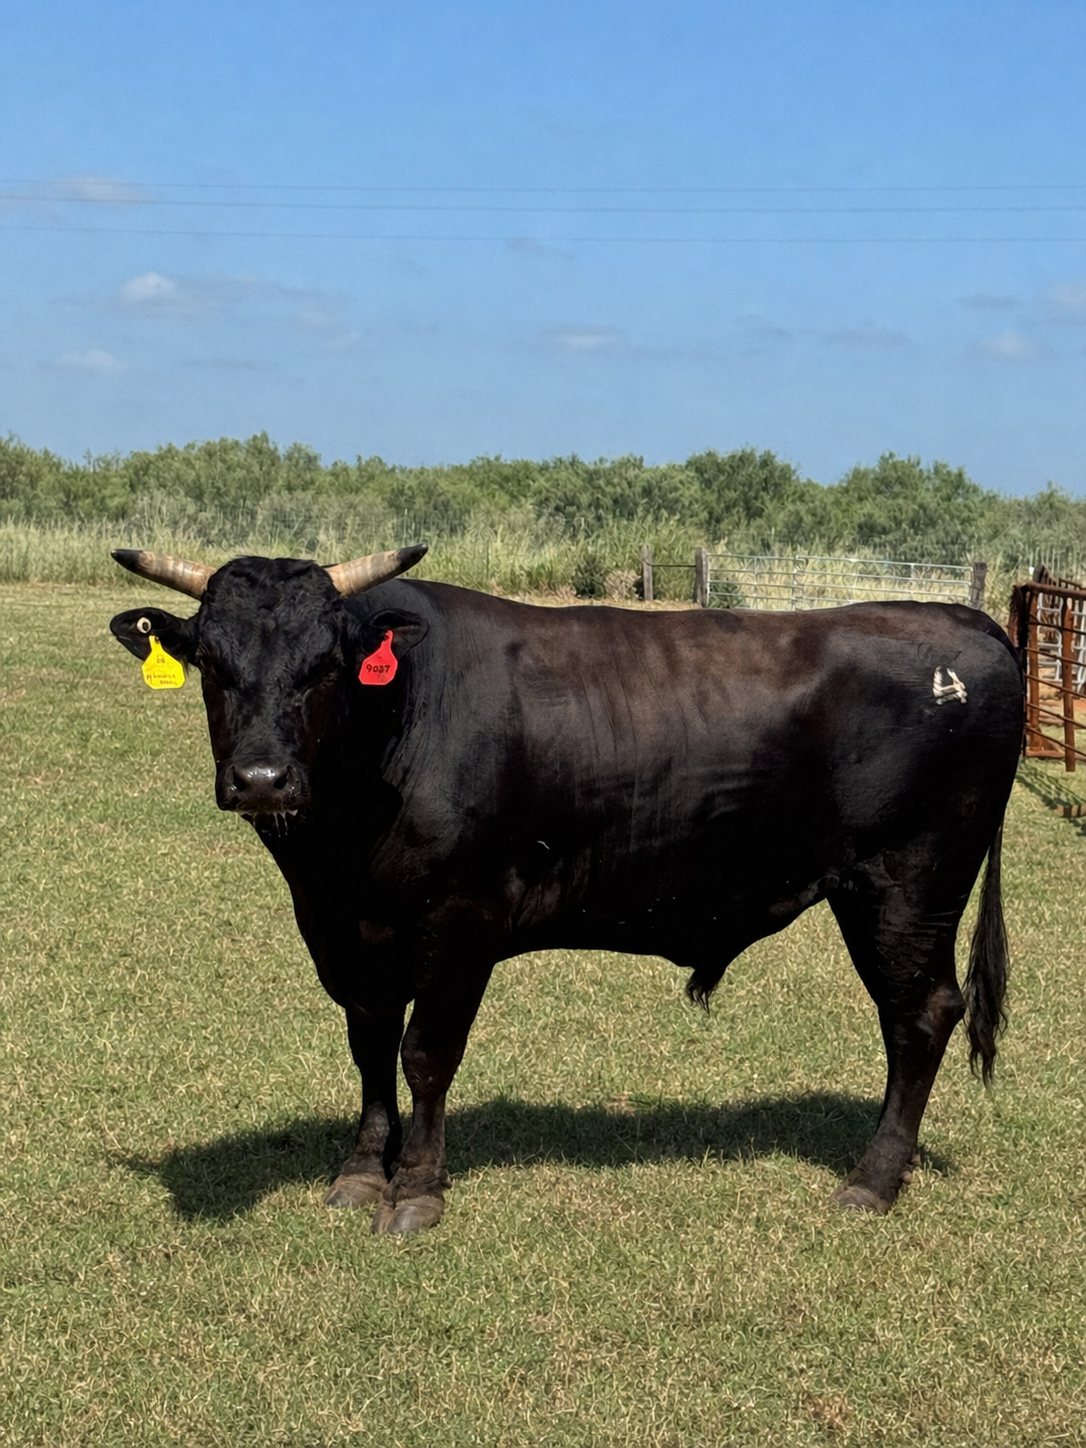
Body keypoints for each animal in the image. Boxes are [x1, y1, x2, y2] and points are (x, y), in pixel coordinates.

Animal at [109, 545, 1023, 1235]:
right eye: (212, 665)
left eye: (326, 665)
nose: (263, 779)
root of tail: (965, 622)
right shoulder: (350, 935)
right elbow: (370, 1048)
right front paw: (364, 1172)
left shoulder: (460, 924)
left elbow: (426, 1054)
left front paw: (417, 1190)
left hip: (906, 885)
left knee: (921, 1015)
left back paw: (873, 1180)